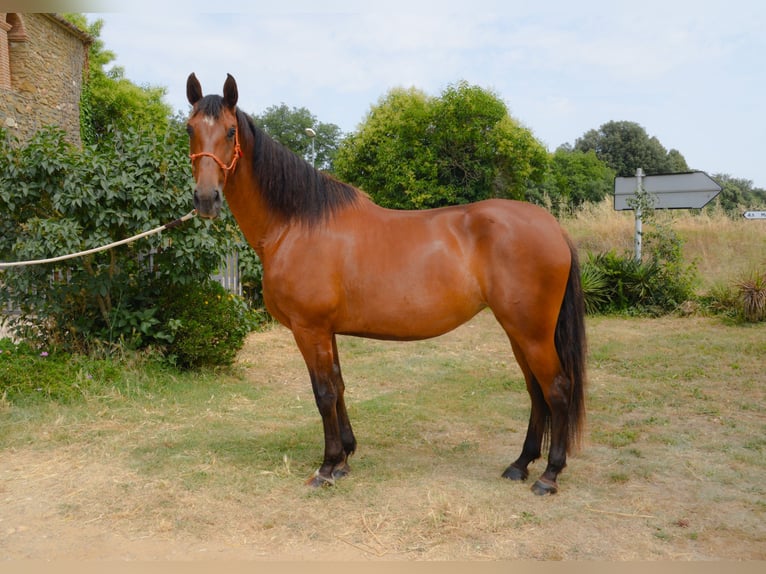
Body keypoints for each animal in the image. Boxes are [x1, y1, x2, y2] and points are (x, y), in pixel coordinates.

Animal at [185, 73, 587, 495]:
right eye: (189, 129)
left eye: (230, 131)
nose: (206, 198)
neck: (296, 225)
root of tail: (553, 227)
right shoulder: (326, 331)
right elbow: (339, 386)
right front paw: (345, 457)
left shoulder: (309, 329)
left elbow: (323, 393)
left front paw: (326, 467)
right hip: (518, 332)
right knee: (536, 391)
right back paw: (520, 463)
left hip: (532, 333)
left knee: (557, 389)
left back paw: (549, 474)